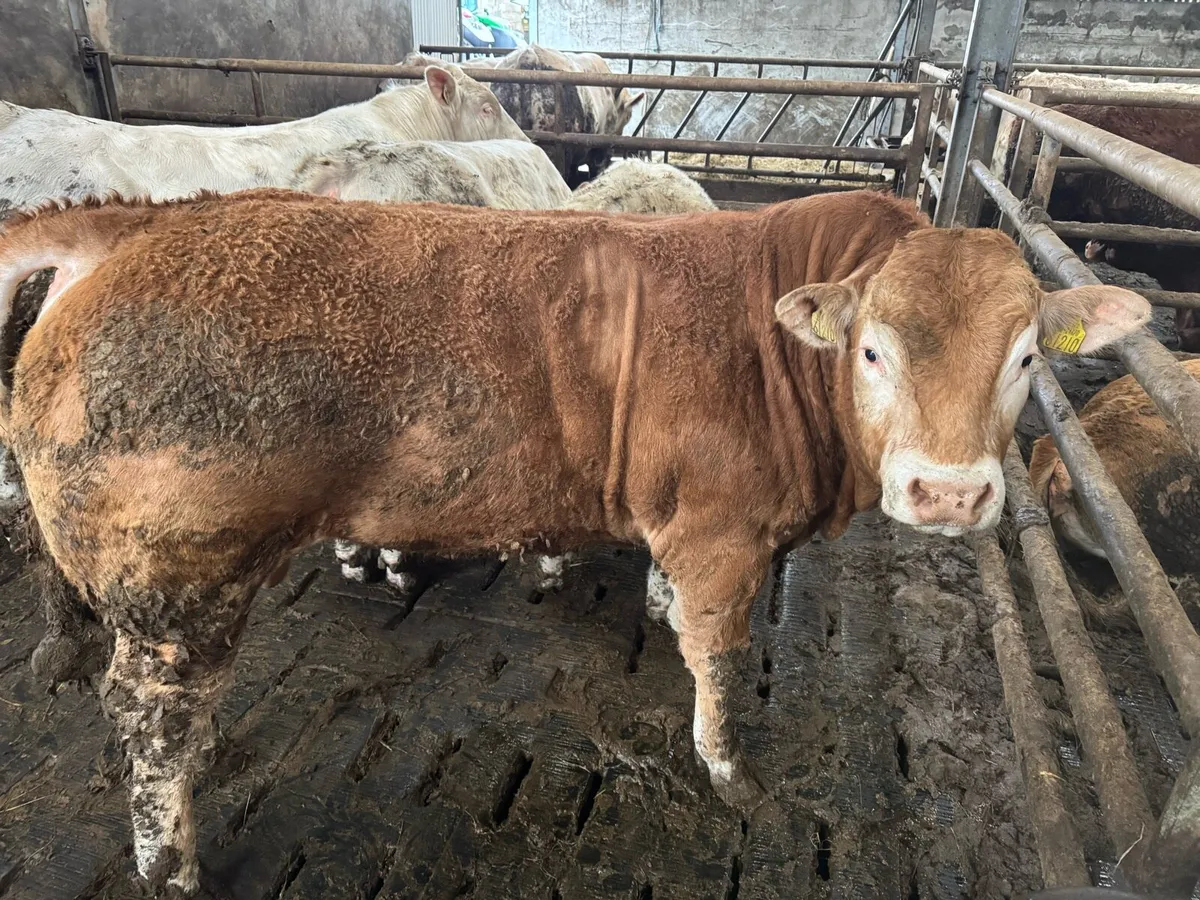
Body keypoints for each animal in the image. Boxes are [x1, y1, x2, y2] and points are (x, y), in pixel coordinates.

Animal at [0, 188, 1149, 893]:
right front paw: (730, 770)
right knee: (153, 719)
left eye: (1026, 356)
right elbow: (719, 658)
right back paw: (171, 863)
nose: (948, 494)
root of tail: (139, 224)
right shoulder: (725, 531)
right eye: (872, 349)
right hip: (180, 577)